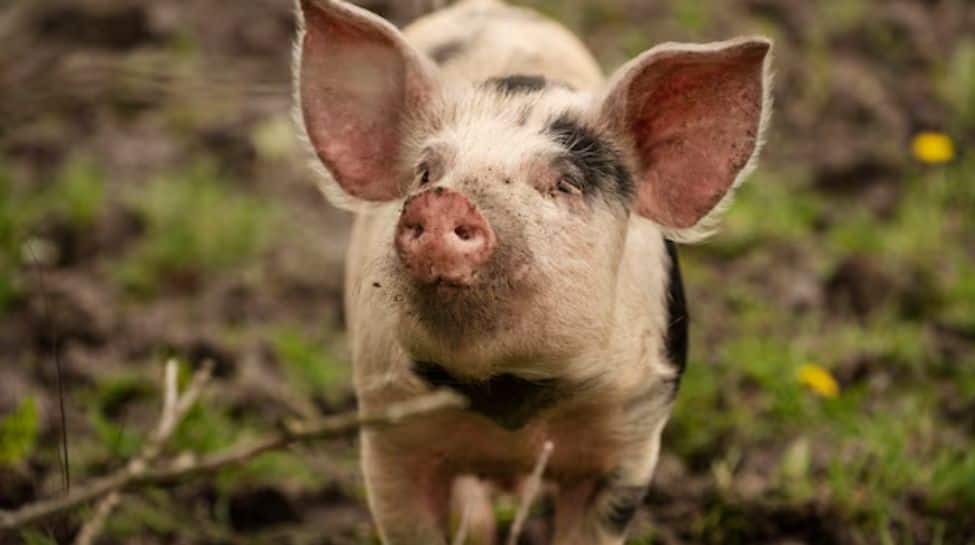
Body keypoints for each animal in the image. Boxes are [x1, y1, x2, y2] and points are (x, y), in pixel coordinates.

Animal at [292, 0, 772, 543]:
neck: (508, 394)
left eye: (564, 183)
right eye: (425, 173)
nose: (442, 200)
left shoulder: (631, 436)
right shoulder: (387, 430)